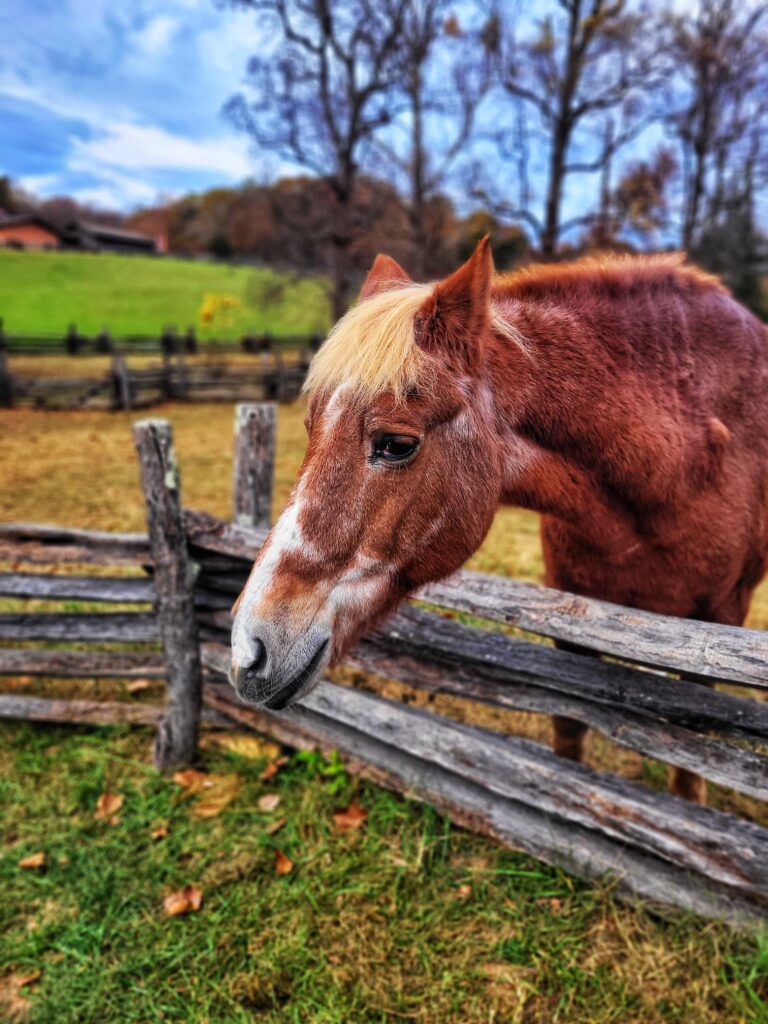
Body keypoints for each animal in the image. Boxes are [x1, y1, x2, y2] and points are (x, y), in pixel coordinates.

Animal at [230, 239, 768, 798]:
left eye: (397, 444)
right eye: (310, 426)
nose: (249, 650)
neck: (678, 464)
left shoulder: (719, 619)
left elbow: (688, 770)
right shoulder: (573, 608)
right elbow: (571, 726)